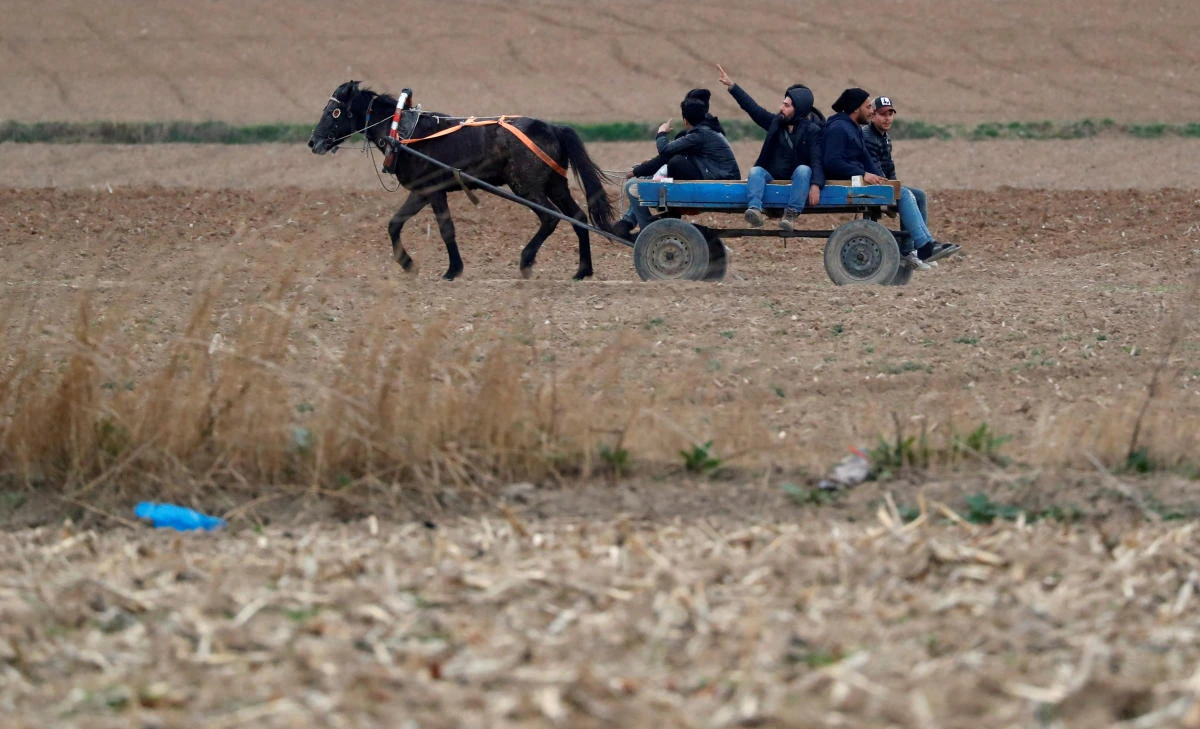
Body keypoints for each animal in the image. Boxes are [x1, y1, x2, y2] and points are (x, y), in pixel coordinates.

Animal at [308, 81, 615, 281]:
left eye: (334, 112)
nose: (313, 142)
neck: (404, 133)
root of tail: (553, 127)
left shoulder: (433, 191)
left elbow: (446, 230)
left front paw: (452, 269)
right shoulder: (420, 192)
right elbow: (394, 224)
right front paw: (408, 264)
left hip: (526, 187)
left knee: (550, 218)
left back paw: (526, 260)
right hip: (555, 185)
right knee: (578, 217)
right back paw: (582, 270)